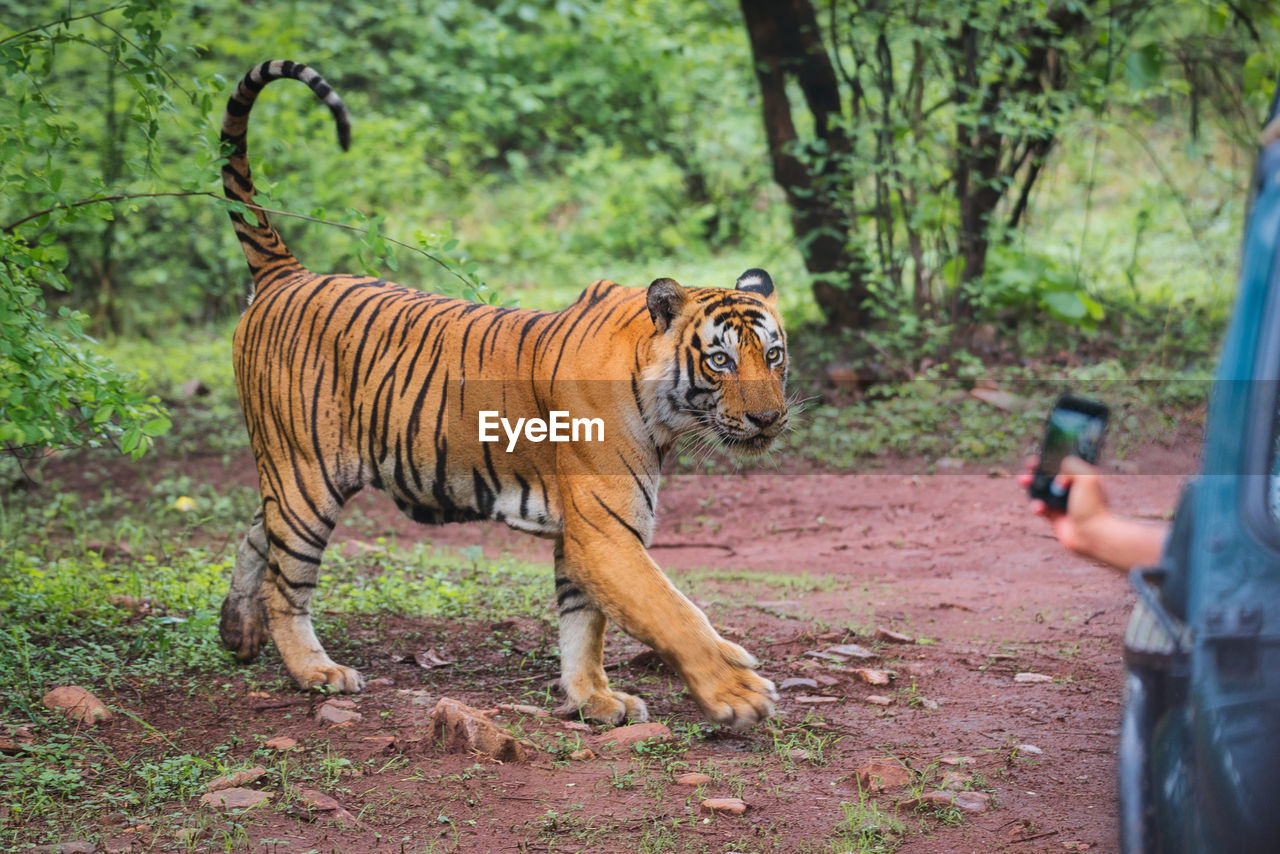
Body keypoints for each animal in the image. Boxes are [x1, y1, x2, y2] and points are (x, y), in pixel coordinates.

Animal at [215, 60, 783, 727]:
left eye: (773, 355)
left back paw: (237, 632)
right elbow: (671, 611)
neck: (659, 407)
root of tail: (289, 273)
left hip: (294, 473)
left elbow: (582, 623)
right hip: (306, 472)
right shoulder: (604, 529)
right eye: (720, 360)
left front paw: (592, 698)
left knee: (259, 535)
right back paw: (315, 671)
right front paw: (736, 692)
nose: (769, 417)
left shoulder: (583, 533)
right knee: (287, 581)